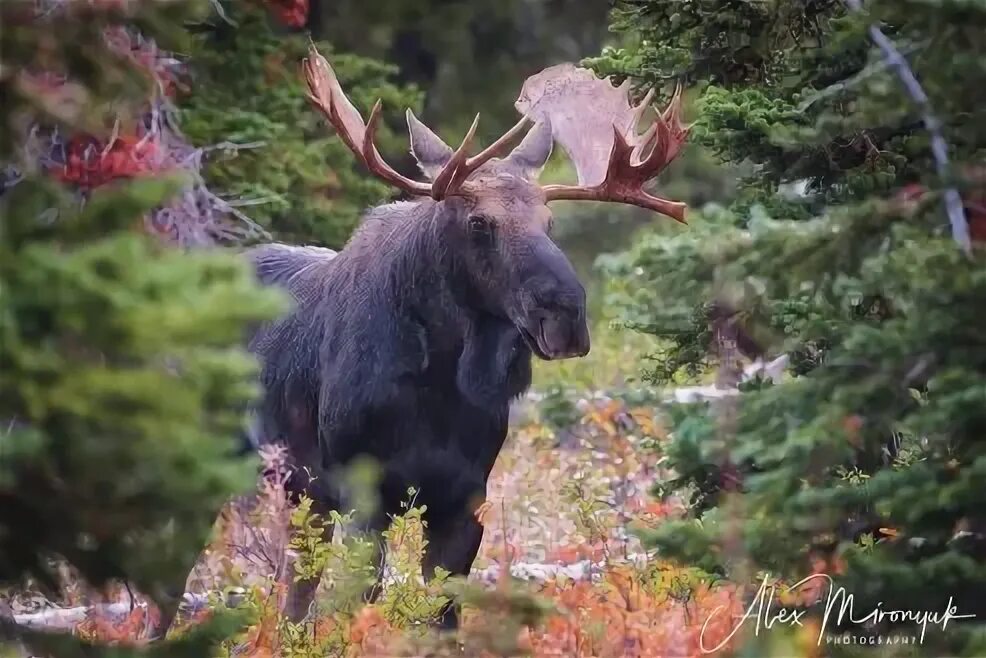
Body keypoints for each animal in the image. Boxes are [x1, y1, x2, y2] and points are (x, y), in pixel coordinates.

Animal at [169, 46, 688, 632]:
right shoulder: (363, 490)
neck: (438, 382)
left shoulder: (463, 498)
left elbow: (442, 612)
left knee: (291, 590)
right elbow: (359, 604)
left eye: (549, 221)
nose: (566, 316)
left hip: (298, 491)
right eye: (479, 222)